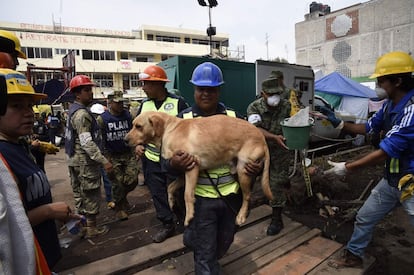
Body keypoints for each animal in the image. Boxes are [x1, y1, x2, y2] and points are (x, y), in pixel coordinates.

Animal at [123, 111, 272, 227]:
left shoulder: (192, 168)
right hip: (235, 169)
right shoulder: (183, 170)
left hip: (243, 170)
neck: (169, 130)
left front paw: (189, 216)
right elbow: (170, 187)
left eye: (138, 126)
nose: (124, 140)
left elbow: (187, 195)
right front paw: (171, 201)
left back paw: (241, 216)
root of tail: (262, 138)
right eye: (133, 125)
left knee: (247, 196)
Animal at [318, 51, 414, 270]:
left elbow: (388, 145)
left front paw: (340, 168)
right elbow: (368, 125)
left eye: (382, 79)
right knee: (365, 217)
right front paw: (335, 119)